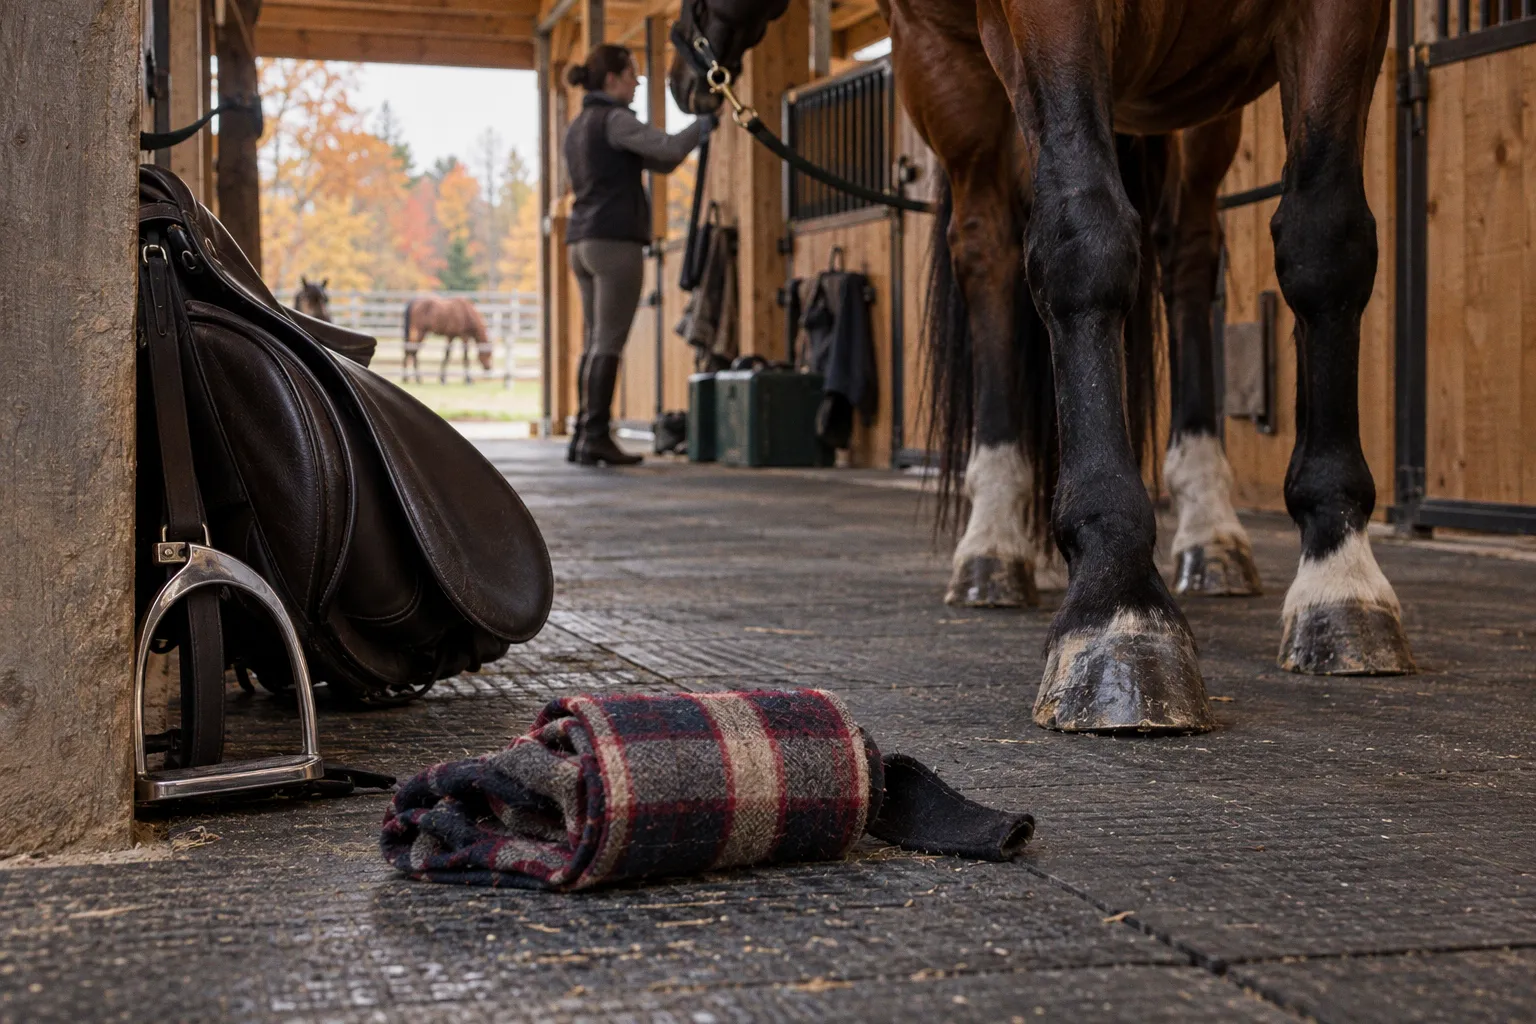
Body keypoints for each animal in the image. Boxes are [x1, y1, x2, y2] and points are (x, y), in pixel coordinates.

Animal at [670, 0, 1409, 733]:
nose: (683, 66)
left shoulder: (1344, 16)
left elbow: (1325, 242)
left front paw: (1338, 578)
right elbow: (1084, 238)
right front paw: (1117, 605)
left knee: (1189, 255)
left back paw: (1209, 533)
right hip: (954, 83)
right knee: (990, 253)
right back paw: (995, 545)